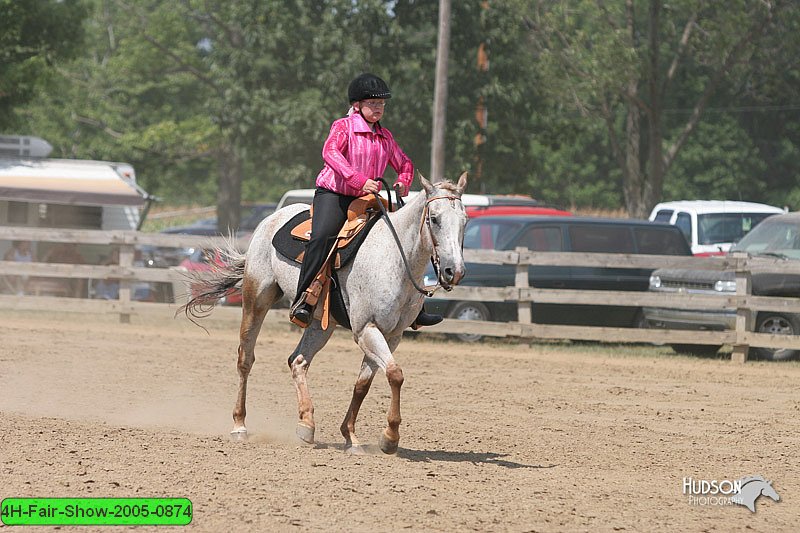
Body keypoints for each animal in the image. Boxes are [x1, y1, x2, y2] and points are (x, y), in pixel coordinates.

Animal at [181, 174, 468, 454]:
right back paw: (239, 425)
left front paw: (351, 436)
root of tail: (271, 220)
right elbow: (395, 374)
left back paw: (306, 424)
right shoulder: (366, 329)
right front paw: (390, 437)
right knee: (245, 358)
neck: (394, 259)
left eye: (464, 221)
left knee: (298, 361)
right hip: (257, 299)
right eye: (434, 218)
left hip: (321, 323)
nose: (454, 271)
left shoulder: (392, 335)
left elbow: (364, 384)